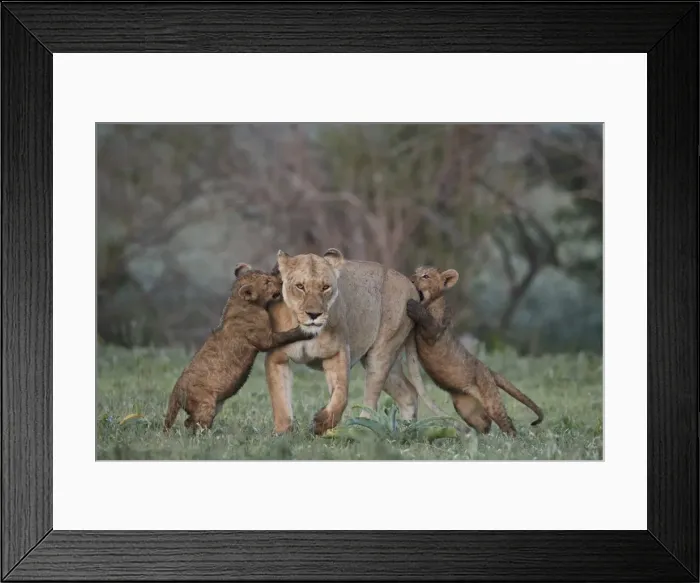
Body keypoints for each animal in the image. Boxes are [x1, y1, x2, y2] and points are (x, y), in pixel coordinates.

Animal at [163, 264, 315, 433]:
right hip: (205, 404)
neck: (240, 301)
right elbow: (286, 335)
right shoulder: (265, 340)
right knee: (193, 424)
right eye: (267, 282)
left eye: (268, 274)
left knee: (189, 422)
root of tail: (176, 391)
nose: (282, 281)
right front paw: (305, 331)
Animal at [265, 248, 451, 435]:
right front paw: (283, 433)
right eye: (300, 286)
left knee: (372, 401)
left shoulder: (337, 352)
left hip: (381, 354)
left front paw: (321, 424)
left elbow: (341, 395)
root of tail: (411, 286)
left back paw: (361, 431)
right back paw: (405, 430)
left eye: (325, 287)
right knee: (409, 393)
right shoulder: (276, 357)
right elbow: (279, 398)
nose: (314, 314)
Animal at [406, 265, 544, 436]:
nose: (410, 279)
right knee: (485, 423)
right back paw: (480, 438)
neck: (431, 302)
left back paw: (511, 438)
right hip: (466, 407)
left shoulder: (434, 333)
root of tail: (488, 370)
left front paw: (412, 306)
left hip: (490, 398)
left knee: (505, 420)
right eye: (415, 273)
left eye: (425, 276)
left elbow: (426, 320)